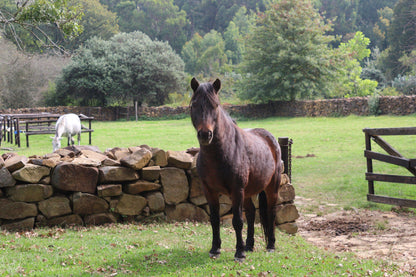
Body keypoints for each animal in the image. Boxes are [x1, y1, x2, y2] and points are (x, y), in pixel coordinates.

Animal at [189, 76, 282, 260]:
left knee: (271, 212)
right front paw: (215, 249)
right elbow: (215, 219)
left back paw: (270, 245)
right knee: (252, 213)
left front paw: (239, 252)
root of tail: (270, 138)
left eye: (215, 105)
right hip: (248, 192)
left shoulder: (236, 190)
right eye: (194, 104)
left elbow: (238, 221)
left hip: (271, 188)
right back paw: (250, 245)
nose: (205, 135)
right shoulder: (209, 191)